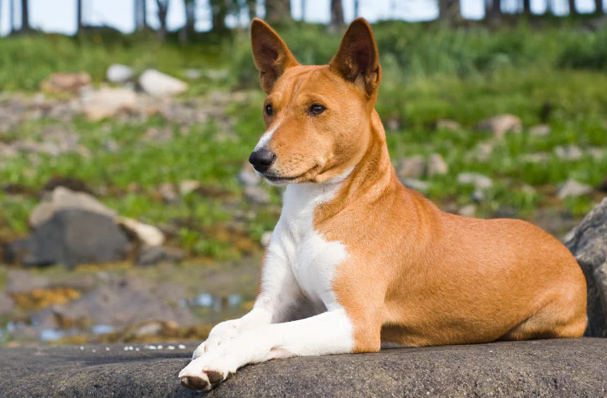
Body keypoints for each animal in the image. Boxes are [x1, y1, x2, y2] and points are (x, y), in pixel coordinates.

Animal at [178, 17, 588, 388]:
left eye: (316, 109)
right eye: (268, 108)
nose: (258, 159)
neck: (313, 213)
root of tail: (559, 244)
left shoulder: (354, 320)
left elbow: (261, 335)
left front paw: (214, 362)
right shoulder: (274, 305)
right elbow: (226, 325)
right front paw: (211, 345)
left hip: (541, 322)